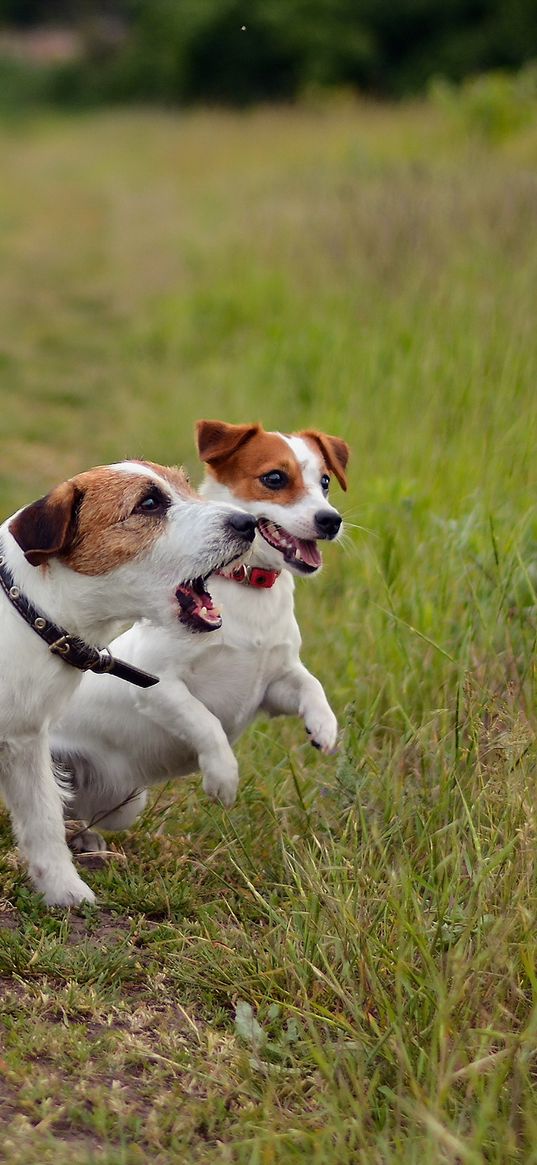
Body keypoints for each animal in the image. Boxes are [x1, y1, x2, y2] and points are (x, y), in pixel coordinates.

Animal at [0, 459, 255, 904]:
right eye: (148, 503)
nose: (250, 522)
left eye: (187, 485)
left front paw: (65, 891)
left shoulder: (25, 744)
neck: (28, 608)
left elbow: (43, 820)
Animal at [51, 424, 347, 843]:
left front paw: (324, 725)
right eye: (275, 478)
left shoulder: (274, 685)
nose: (330, 520)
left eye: (325, 482)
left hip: (122, 805)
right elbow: (205, 721)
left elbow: (310, 684)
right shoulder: (159, 685)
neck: (249, 592)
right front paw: (223, 778)